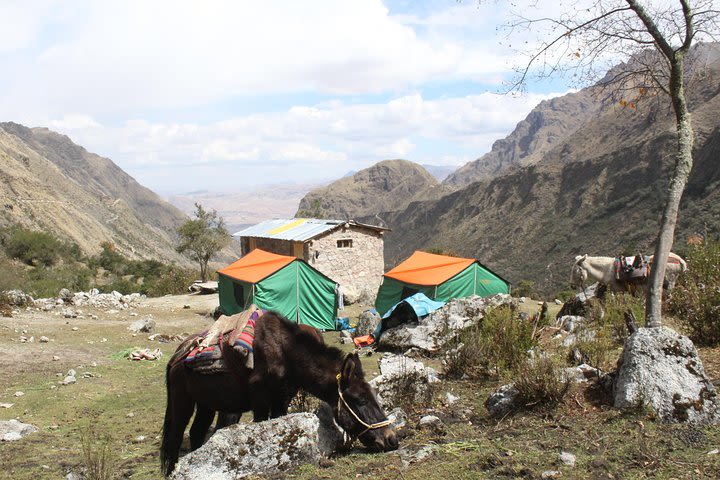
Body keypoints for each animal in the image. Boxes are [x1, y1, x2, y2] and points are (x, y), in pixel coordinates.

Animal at [160, 312, 396, 476]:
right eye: (359, 400)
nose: (392, 439)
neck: (287, 354)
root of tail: (178, 355)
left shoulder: (283, 400)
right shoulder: (261, 402)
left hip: (206, 404)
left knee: (197, 432)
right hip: (183, 402)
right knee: (175, 438)